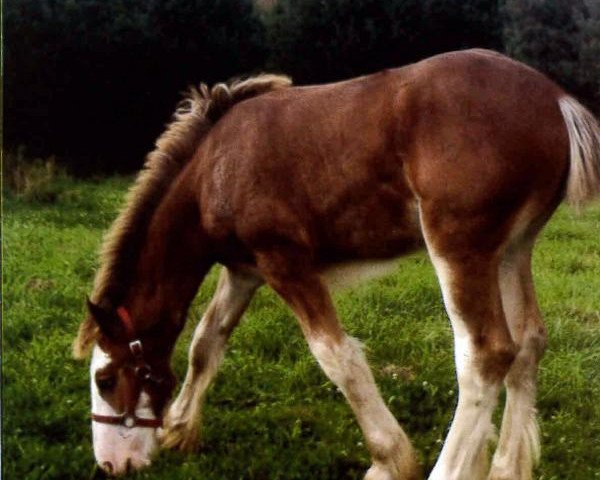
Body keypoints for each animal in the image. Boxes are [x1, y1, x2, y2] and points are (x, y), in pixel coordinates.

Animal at [74, 47, 600, 476]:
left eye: (105, 379)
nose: (111, 465)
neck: (213, 169)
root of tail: (556, 100)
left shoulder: (286, 265)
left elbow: (336, 356)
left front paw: (390, 460)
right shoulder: (244, 272)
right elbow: (206, 342)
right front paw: (181, 428)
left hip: (459, 248)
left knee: (485, 354)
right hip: (512, 250)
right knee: (528, 342)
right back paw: (506, 468)